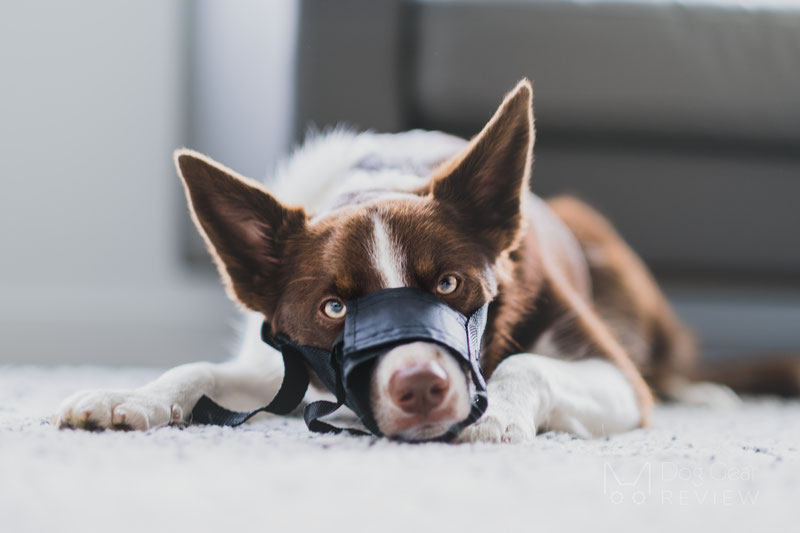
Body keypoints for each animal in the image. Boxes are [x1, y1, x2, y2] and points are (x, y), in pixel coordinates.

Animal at [54, 79, 792, 442]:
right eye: (334, 307)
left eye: (449, 283)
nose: (421, 387)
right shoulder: (281, 359)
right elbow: (199, 369)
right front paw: (127, 396)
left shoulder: (613, 375)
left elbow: (530, 362)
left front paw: (494, 413)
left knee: (668, 365)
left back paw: (701, 390)